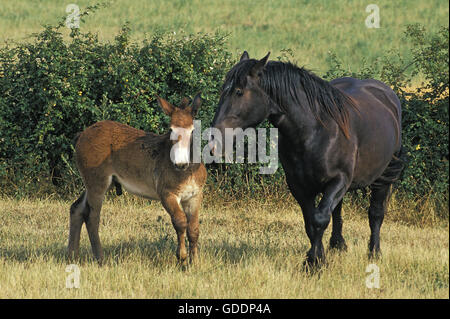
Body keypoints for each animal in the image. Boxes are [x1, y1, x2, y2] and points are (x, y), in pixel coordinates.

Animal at [211, 52, 404, 270]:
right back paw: (338, 245)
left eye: (239, 91)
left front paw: (314, 264)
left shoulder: (339, 180)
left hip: (383, 175)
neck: (314, 132)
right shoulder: (299, 186)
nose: (215, 140)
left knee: (375, 213)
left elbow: (319, 219)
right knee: (337, 211)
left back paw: (374, 253)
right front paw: (316, 259)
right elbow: (311, 223)